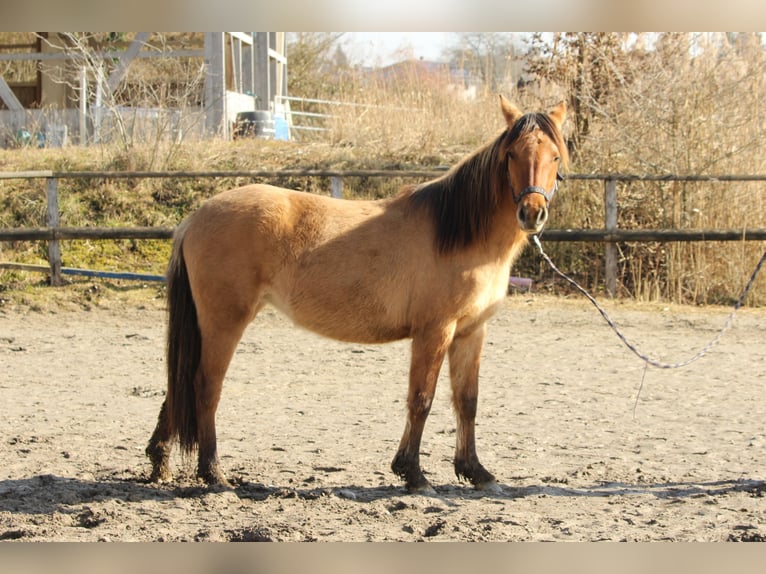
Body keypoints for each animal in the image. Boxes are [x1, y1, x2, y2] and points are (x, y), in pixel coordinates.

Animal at [148, 97, 568, 492]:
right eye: (511, 154)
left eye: (555, 155)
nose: (532, 212)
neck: (458, 233)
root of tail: (194, 219)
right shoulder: (435, 332)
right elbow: (422, 399)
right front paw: (413, 474)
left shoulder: (470, 332)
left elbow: (467, 402)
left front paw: (476, 472)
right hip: (224, 322)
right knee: (204, 386)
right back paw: (213, 473)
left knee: (179, 383)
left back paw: (160, 462)